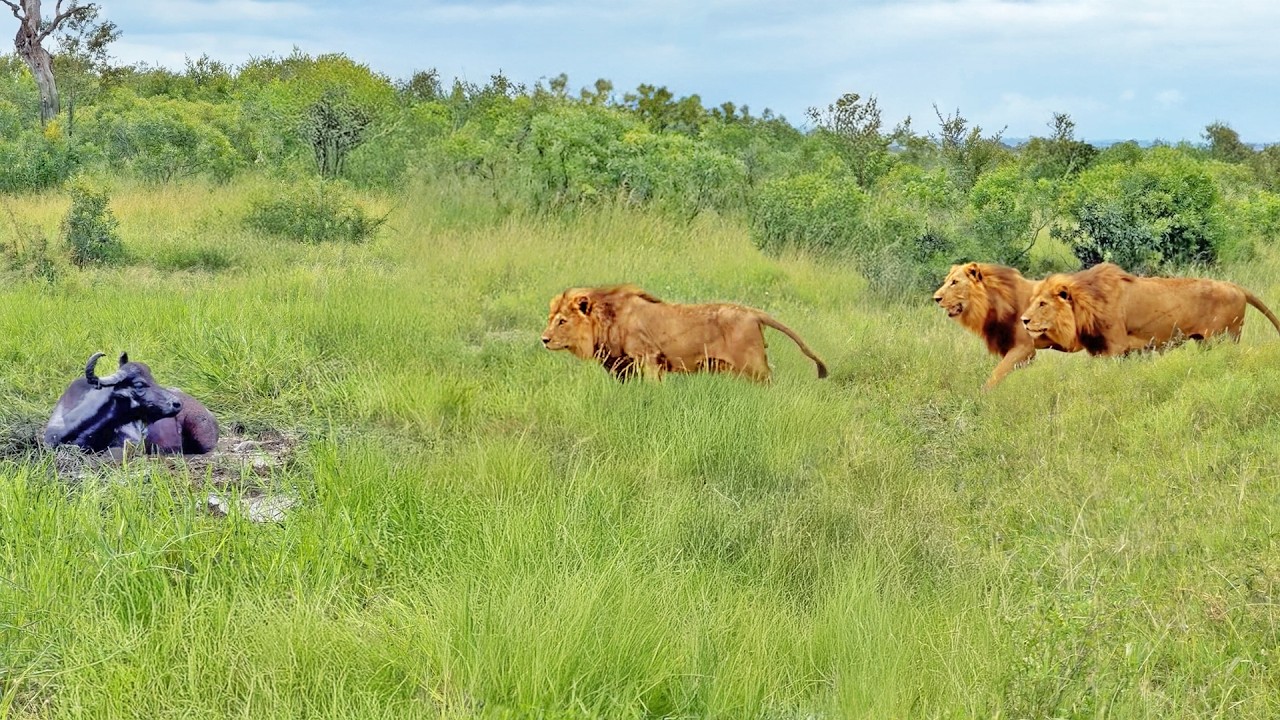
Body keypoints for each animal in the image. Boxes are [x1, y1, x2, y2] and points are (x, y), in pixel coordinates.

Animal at [540, 285, 828, 381]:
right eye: (550, 319)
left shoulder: (650, 358)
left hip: (754, 366)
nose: (543, 339)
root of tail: (752, 312)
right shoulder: (622, 368)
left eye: (562, 321)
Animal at [1020, 262, 1280, 356]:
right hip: (1205, 343)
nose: (1023, 320)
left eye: (1043, 303)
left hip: (1224, 339)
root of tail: (1235, 286)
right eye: (1033, 300)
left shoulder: (1115, 348)